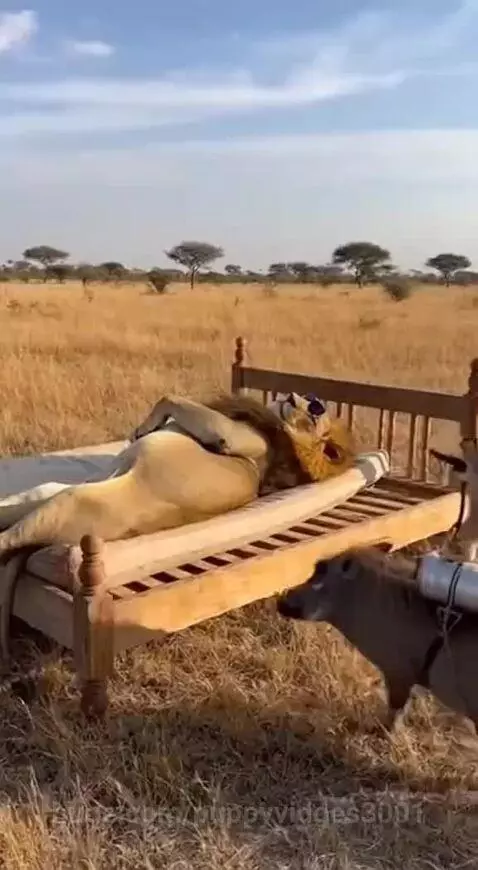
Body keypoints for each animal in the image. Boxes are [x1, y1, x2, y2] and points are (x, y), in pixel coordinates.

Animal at [0, 391, 356, 555]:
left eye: (315, 411)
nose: (302, 397)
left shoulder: (234, 436)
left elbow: (170, 398)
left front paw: (143, 428)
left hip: (73, 501)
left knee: (9, 537)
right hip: (53, 491)